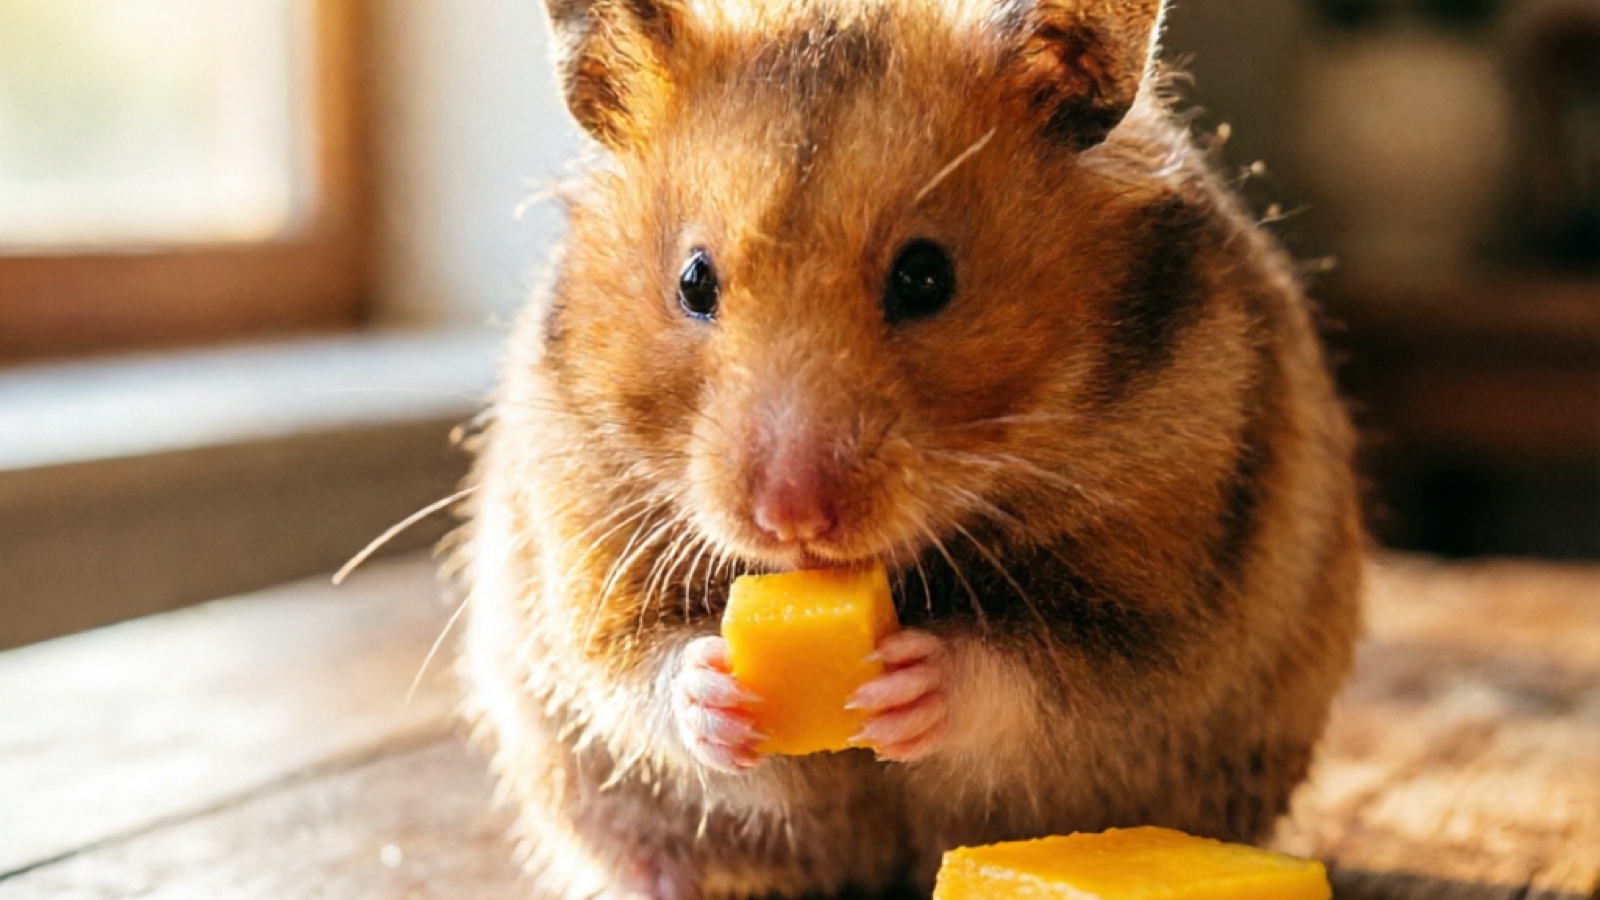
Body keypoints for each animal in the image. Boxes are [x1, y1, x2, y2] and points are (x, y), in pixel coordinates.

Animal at [452, 0, 1365, 896]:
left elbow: (1033, 673)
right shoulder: (586, 542)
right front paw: (718, 688)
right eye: (694, 281)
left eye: (925, 277)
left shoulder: (1150, 592)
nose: (791, 517)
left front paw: (909, 683)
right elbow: (635, 667)